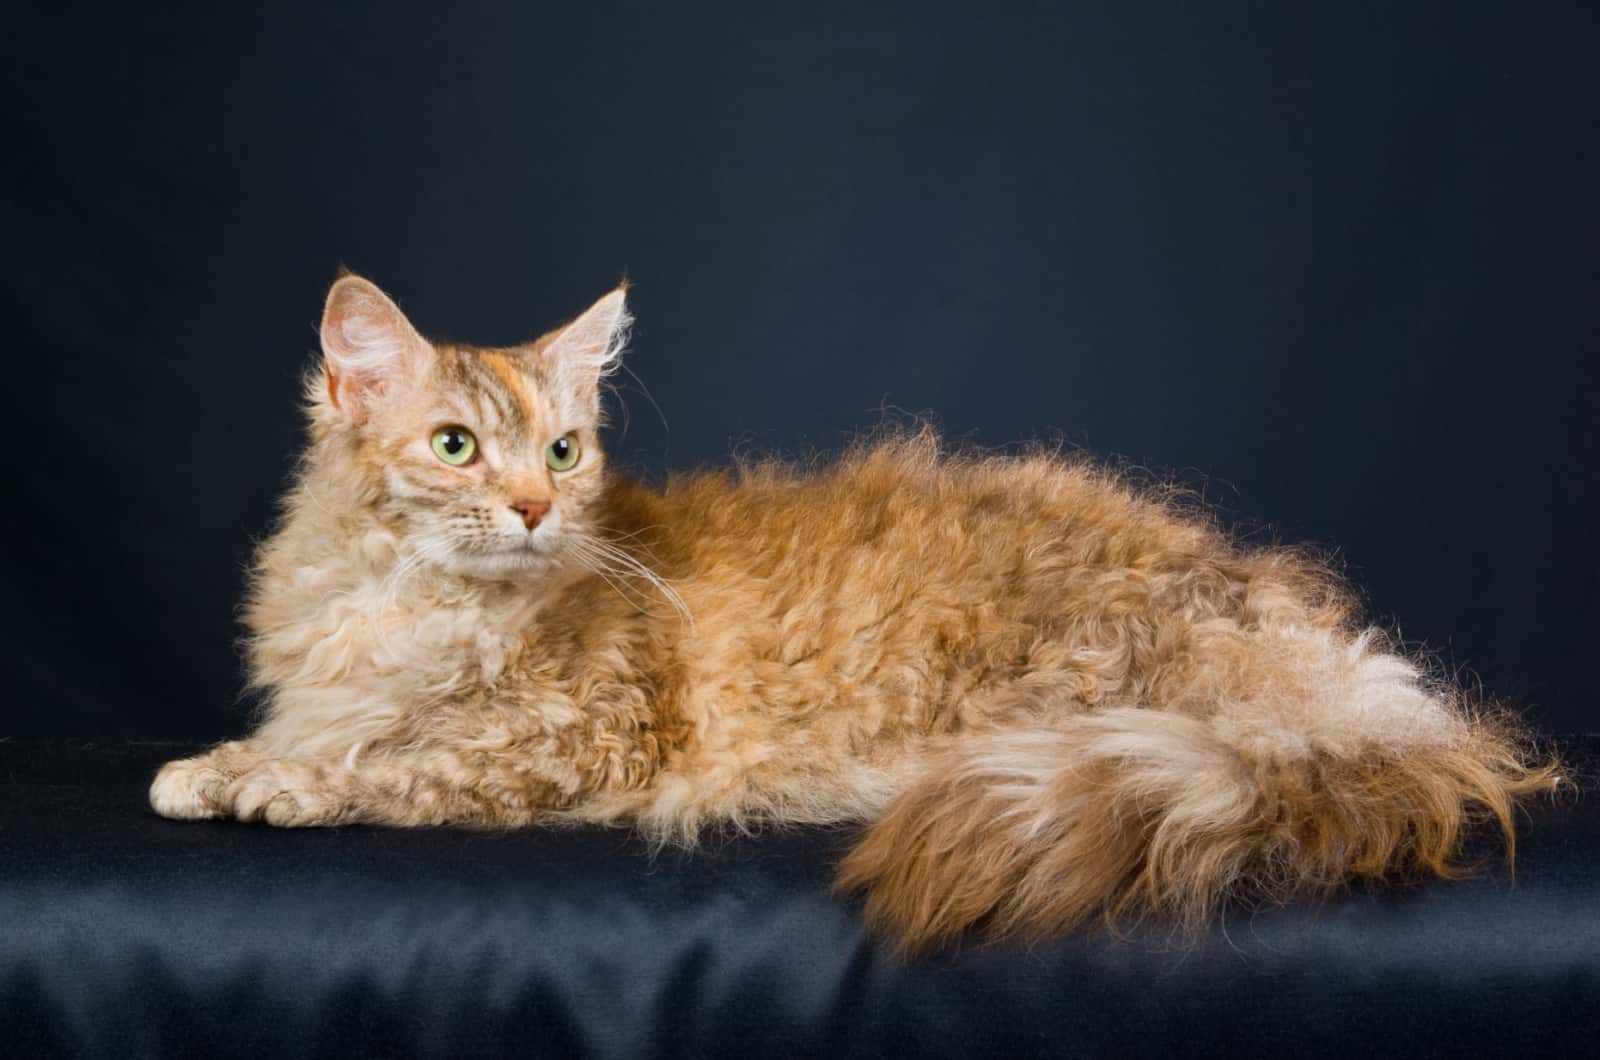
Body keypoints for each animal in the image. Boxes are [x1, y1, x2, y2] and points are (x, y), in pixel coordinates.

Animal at [152, 275, 1561, 954]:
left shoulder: (579, 740)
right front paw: (224, 762)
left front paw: (276, 783)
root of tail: (1320, 665)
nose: (536, 511)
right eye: (455, 446)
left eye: (561, 450)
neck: (407, 600)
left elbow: (397, 763)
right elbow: (318, 731)